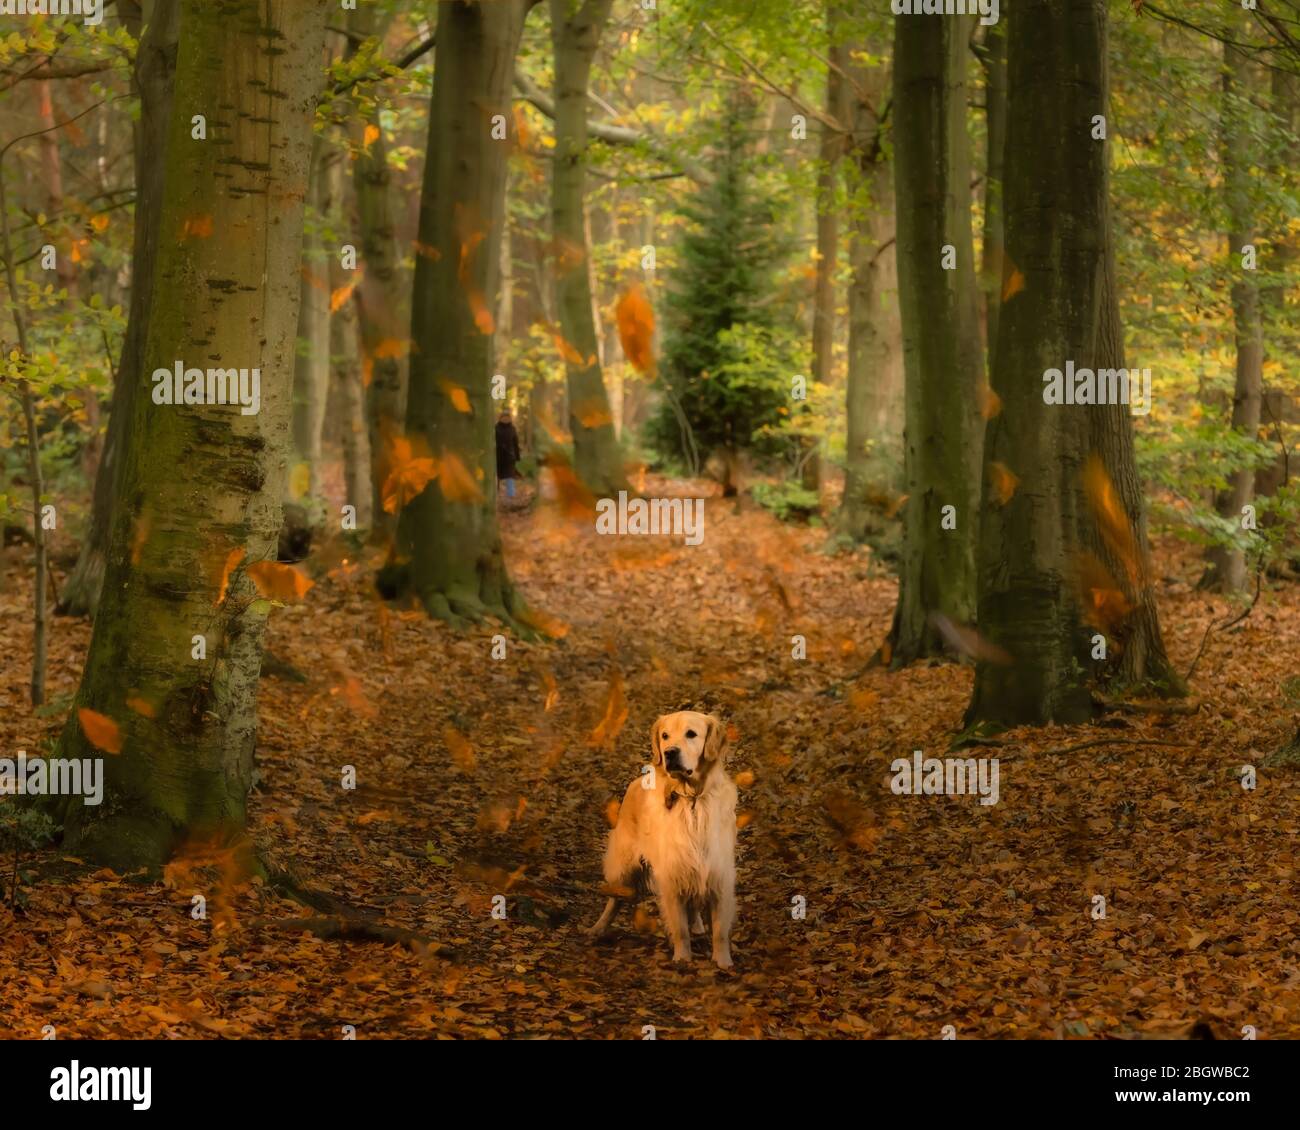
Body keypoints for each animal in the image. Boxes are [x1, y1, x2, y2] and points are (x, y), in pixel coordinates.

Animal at [592, 707, 738, 967]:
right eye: (665, 736)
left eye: (691, 734)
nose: (670, 753)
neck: (691, 800)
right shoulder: (671, 875)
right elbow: (679, 928)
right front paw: (682, 959)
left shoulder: (718, 873)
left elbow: (720, 930)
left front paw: (723, 962)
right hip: (623, 865)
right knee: (614, 899)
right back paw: (598, 928)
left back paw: (698, 926)